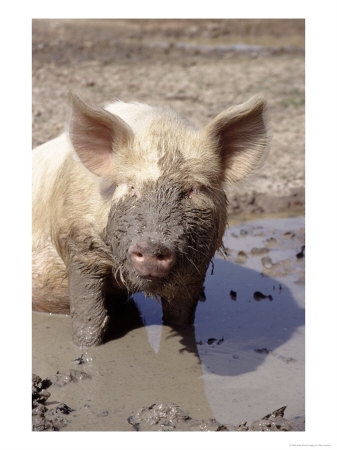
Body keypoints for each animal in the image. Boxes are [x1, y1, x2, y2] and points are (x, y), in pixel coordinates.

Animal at [31, 94, 268, 348]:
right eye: (132, 187)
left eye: (192, 189)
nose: (152, 246)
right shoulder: (78, 244)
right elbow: (90, 316)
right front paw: (86, 347)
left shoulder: (199, 263)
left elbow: (182, 316)